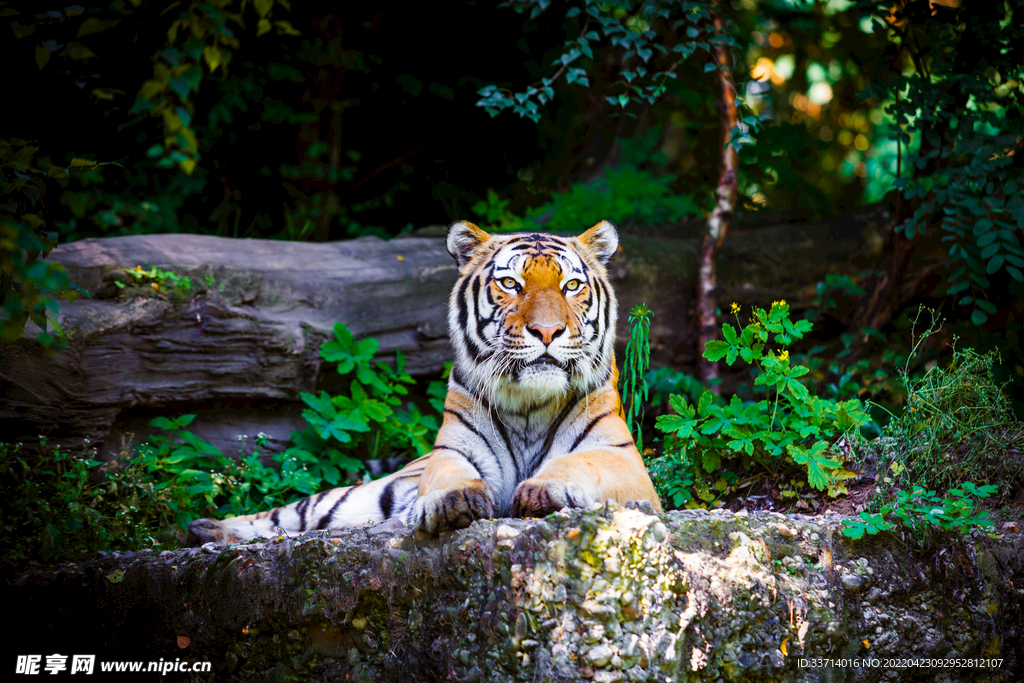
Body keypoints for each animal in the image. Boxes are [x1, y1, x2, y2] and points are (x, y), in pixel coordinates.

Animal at [186, 219, 661, 545]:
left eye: (572, 285)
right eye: (510, 283)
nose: (547, 332)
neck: (530, 406)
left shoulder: (624, 461)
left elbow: (580, 463)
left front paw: (545, 489)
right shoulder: (452, 451)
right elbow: (451, 475)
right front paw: (453, 500)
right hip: (356, 496)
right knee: (288, 514)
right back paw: (207, 528)